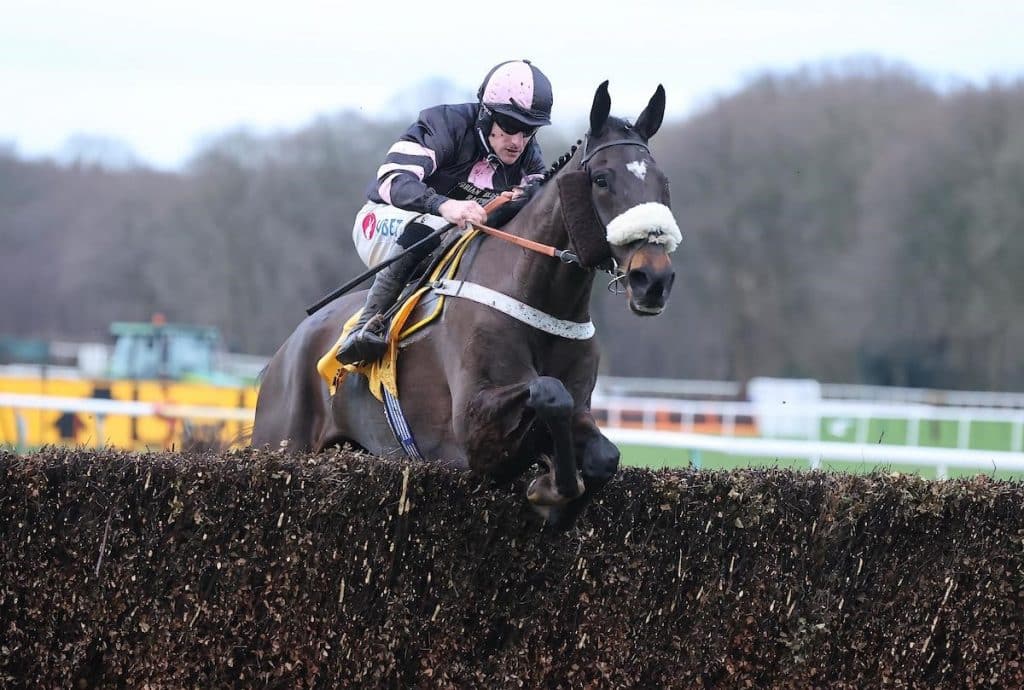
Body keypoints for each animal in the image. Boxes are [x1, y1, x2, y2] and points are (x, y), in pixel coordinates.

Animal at [250, 83, 675, 528]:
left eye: (663, 182)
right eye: (602, 179)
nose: (654, 280)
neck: (536, 297)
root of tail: (285, 351)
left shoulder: (581, 408)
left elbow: (604, 454)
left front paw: (555, 492)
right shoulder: (472, 427)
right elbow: (548, 392)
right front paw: (550, 487)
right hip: (282, 439)